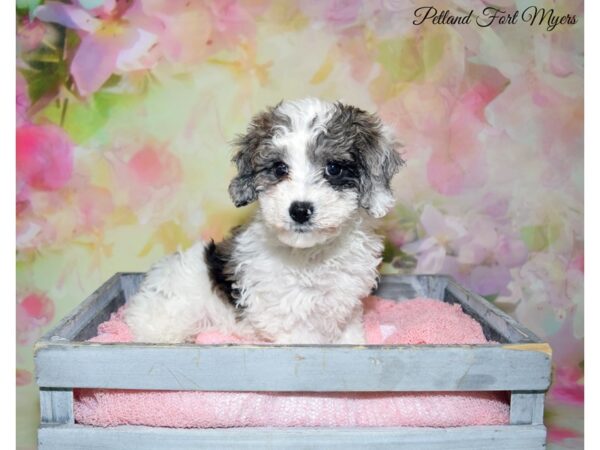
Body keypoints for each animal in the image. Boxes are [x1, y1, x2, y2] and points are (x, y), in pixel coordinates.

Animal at [123, 98, 404, 344]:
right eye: (280, 169)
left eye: (333, 168)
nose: (299, 210)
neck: (312, 256)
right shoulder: (289, 315)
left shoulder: (345, 303)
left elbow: (349, 335)